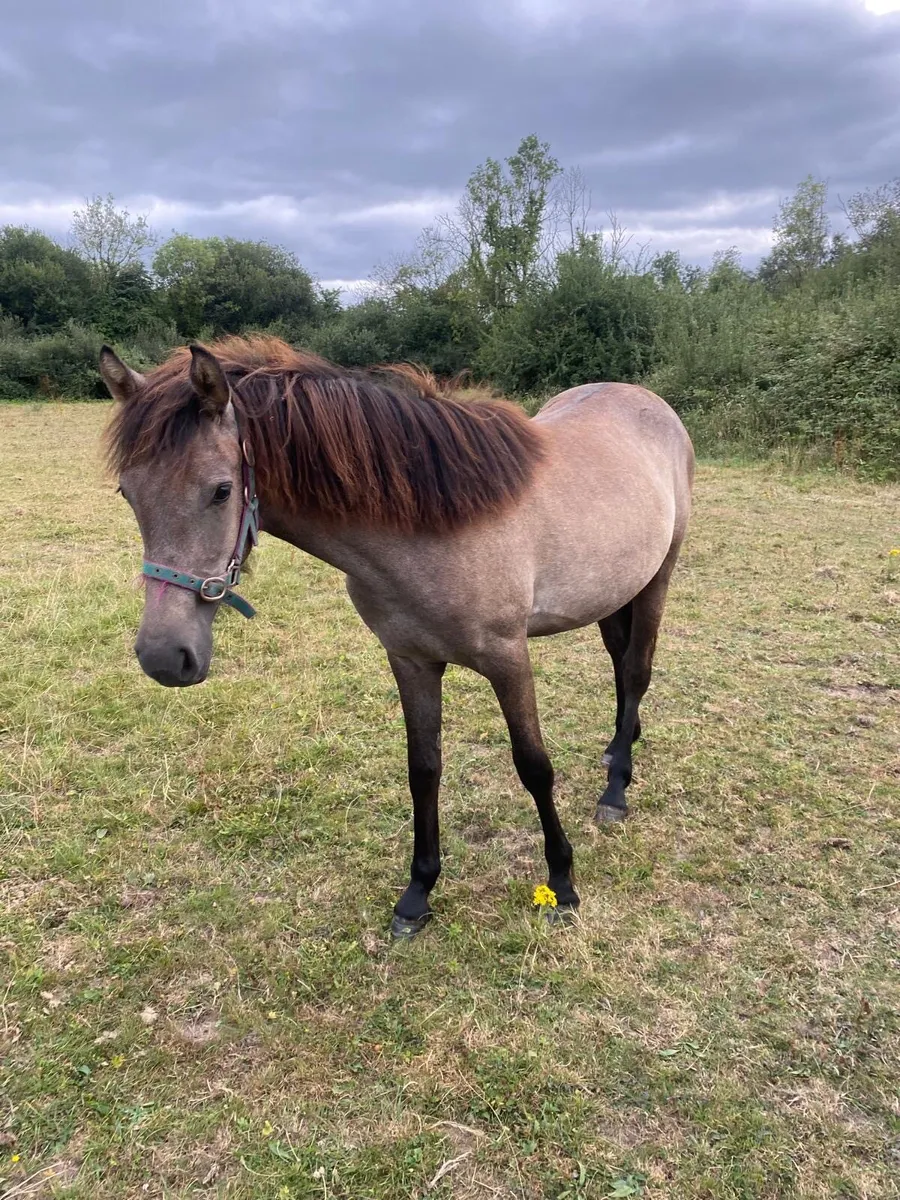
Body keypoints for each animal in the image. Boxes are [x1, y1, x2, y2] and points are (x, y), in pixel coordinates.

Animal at [100, 336, 694, 937]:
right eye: (128, 493)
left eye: (222, 491)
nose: (163, 657)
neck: (431, 526)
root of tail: (648, 401)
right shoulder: (410, 659)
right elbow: (423, 769)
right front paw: (418, 893)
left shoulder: (508, 657)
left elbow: (533, 766)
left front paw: (563, 882)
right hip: (613, 591)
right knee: (620, 664)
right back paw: (617, 750)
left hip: (658, 577)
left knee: (636, 670)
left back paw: (616, 789)